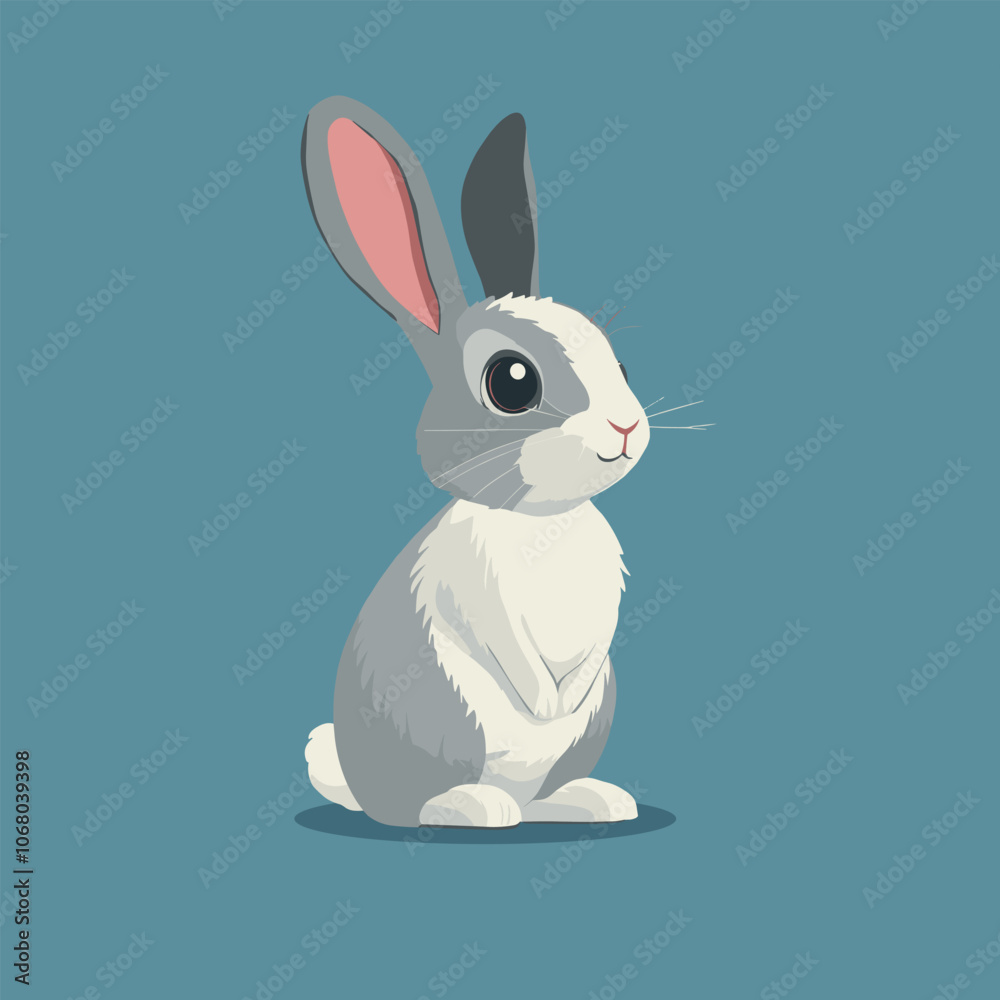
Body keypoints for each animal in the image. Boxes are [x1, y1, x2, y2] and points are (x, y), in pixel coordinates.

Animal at [301, 97, 650, 828]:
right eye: (511, 381)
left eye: (622, 366)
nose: (626, 427)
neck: (542, 521)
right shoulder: (474, 589)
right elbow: (512, 653)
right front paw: (545, 702)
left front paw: (563, 701)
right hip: (448, 720)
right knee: (422, 806)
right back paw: (472, 807)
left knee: (548, 791)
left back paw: (590, 800)